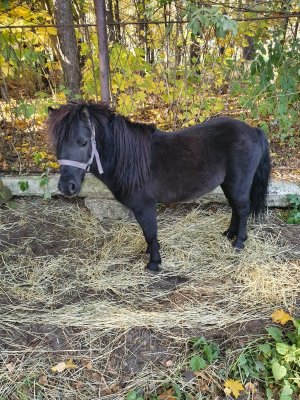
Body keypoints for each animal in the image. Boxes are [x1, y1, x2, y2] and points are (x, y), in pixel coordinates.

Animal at [48, 103, 270, 272]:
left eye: (83, 142)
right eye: (57, 145)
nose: (66, 186)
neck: (128, 159)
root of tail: (252, 130)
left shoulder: (144, 206)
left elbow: (150, 232)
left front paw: (154, 263)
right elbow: (148, 234)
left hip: (238, 183)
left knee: (242, 209)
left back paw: (239, 242)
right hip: (228, 184)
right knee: (235, 209)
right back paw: (228, 234)